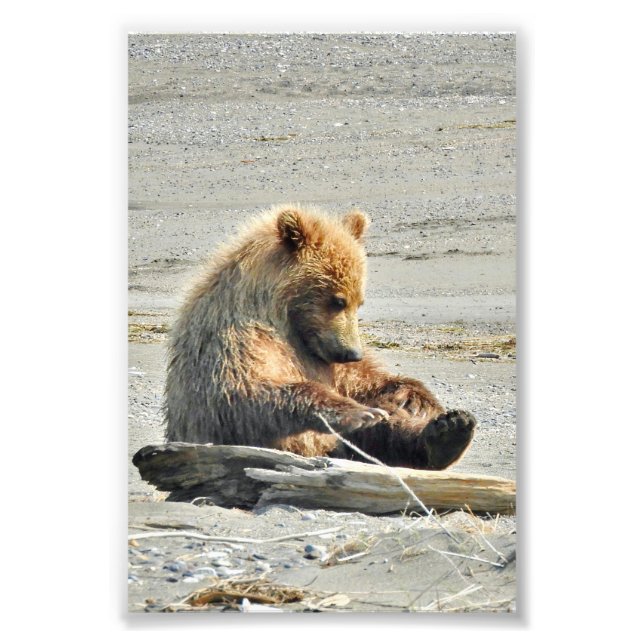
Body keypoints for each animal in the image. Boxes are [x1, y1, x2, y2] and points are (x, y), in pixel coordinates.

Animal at [165, 205, 476, 470]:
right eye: (338, 300)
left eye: (359, 302)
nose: (352, 353)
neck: (284, 317)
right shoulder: (236, 337)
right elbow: (245, 390)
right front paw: (359, 413)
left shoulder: (324, 355)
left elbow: (363, 382)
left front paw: (415, 396)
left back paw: (450, 431)